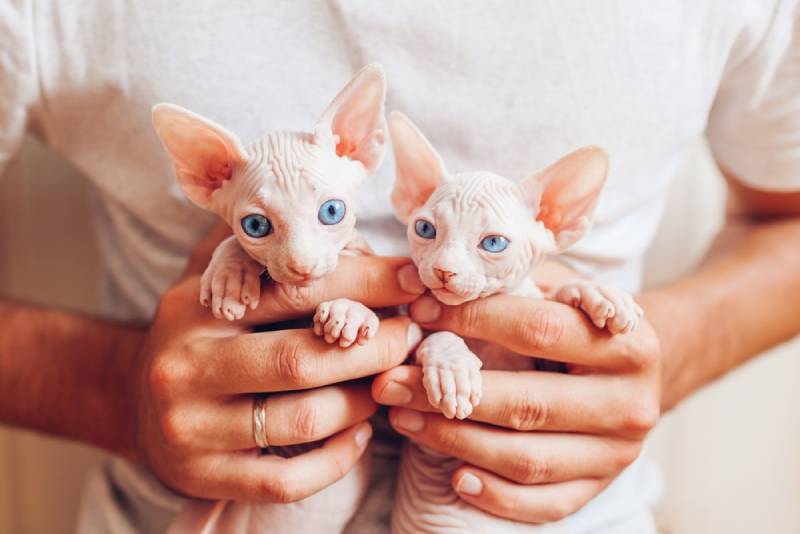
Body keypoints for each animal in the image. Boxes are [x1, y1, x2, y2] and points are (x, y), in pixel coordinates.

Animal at [152, 66, 388, 534]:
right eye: (256, 225)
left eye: (332, 211)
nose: (301, 266)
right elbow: (227, 244)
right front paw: (229, 274)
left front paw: (350, 312)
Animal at [388, 111, 644, 532]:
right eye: (425, 229)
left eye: (493, 243)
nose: (443, 271)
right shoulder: (425, 444)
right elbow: (431, 336)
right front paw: (453, 368)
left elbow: (550, 297)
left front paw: (595, 292)